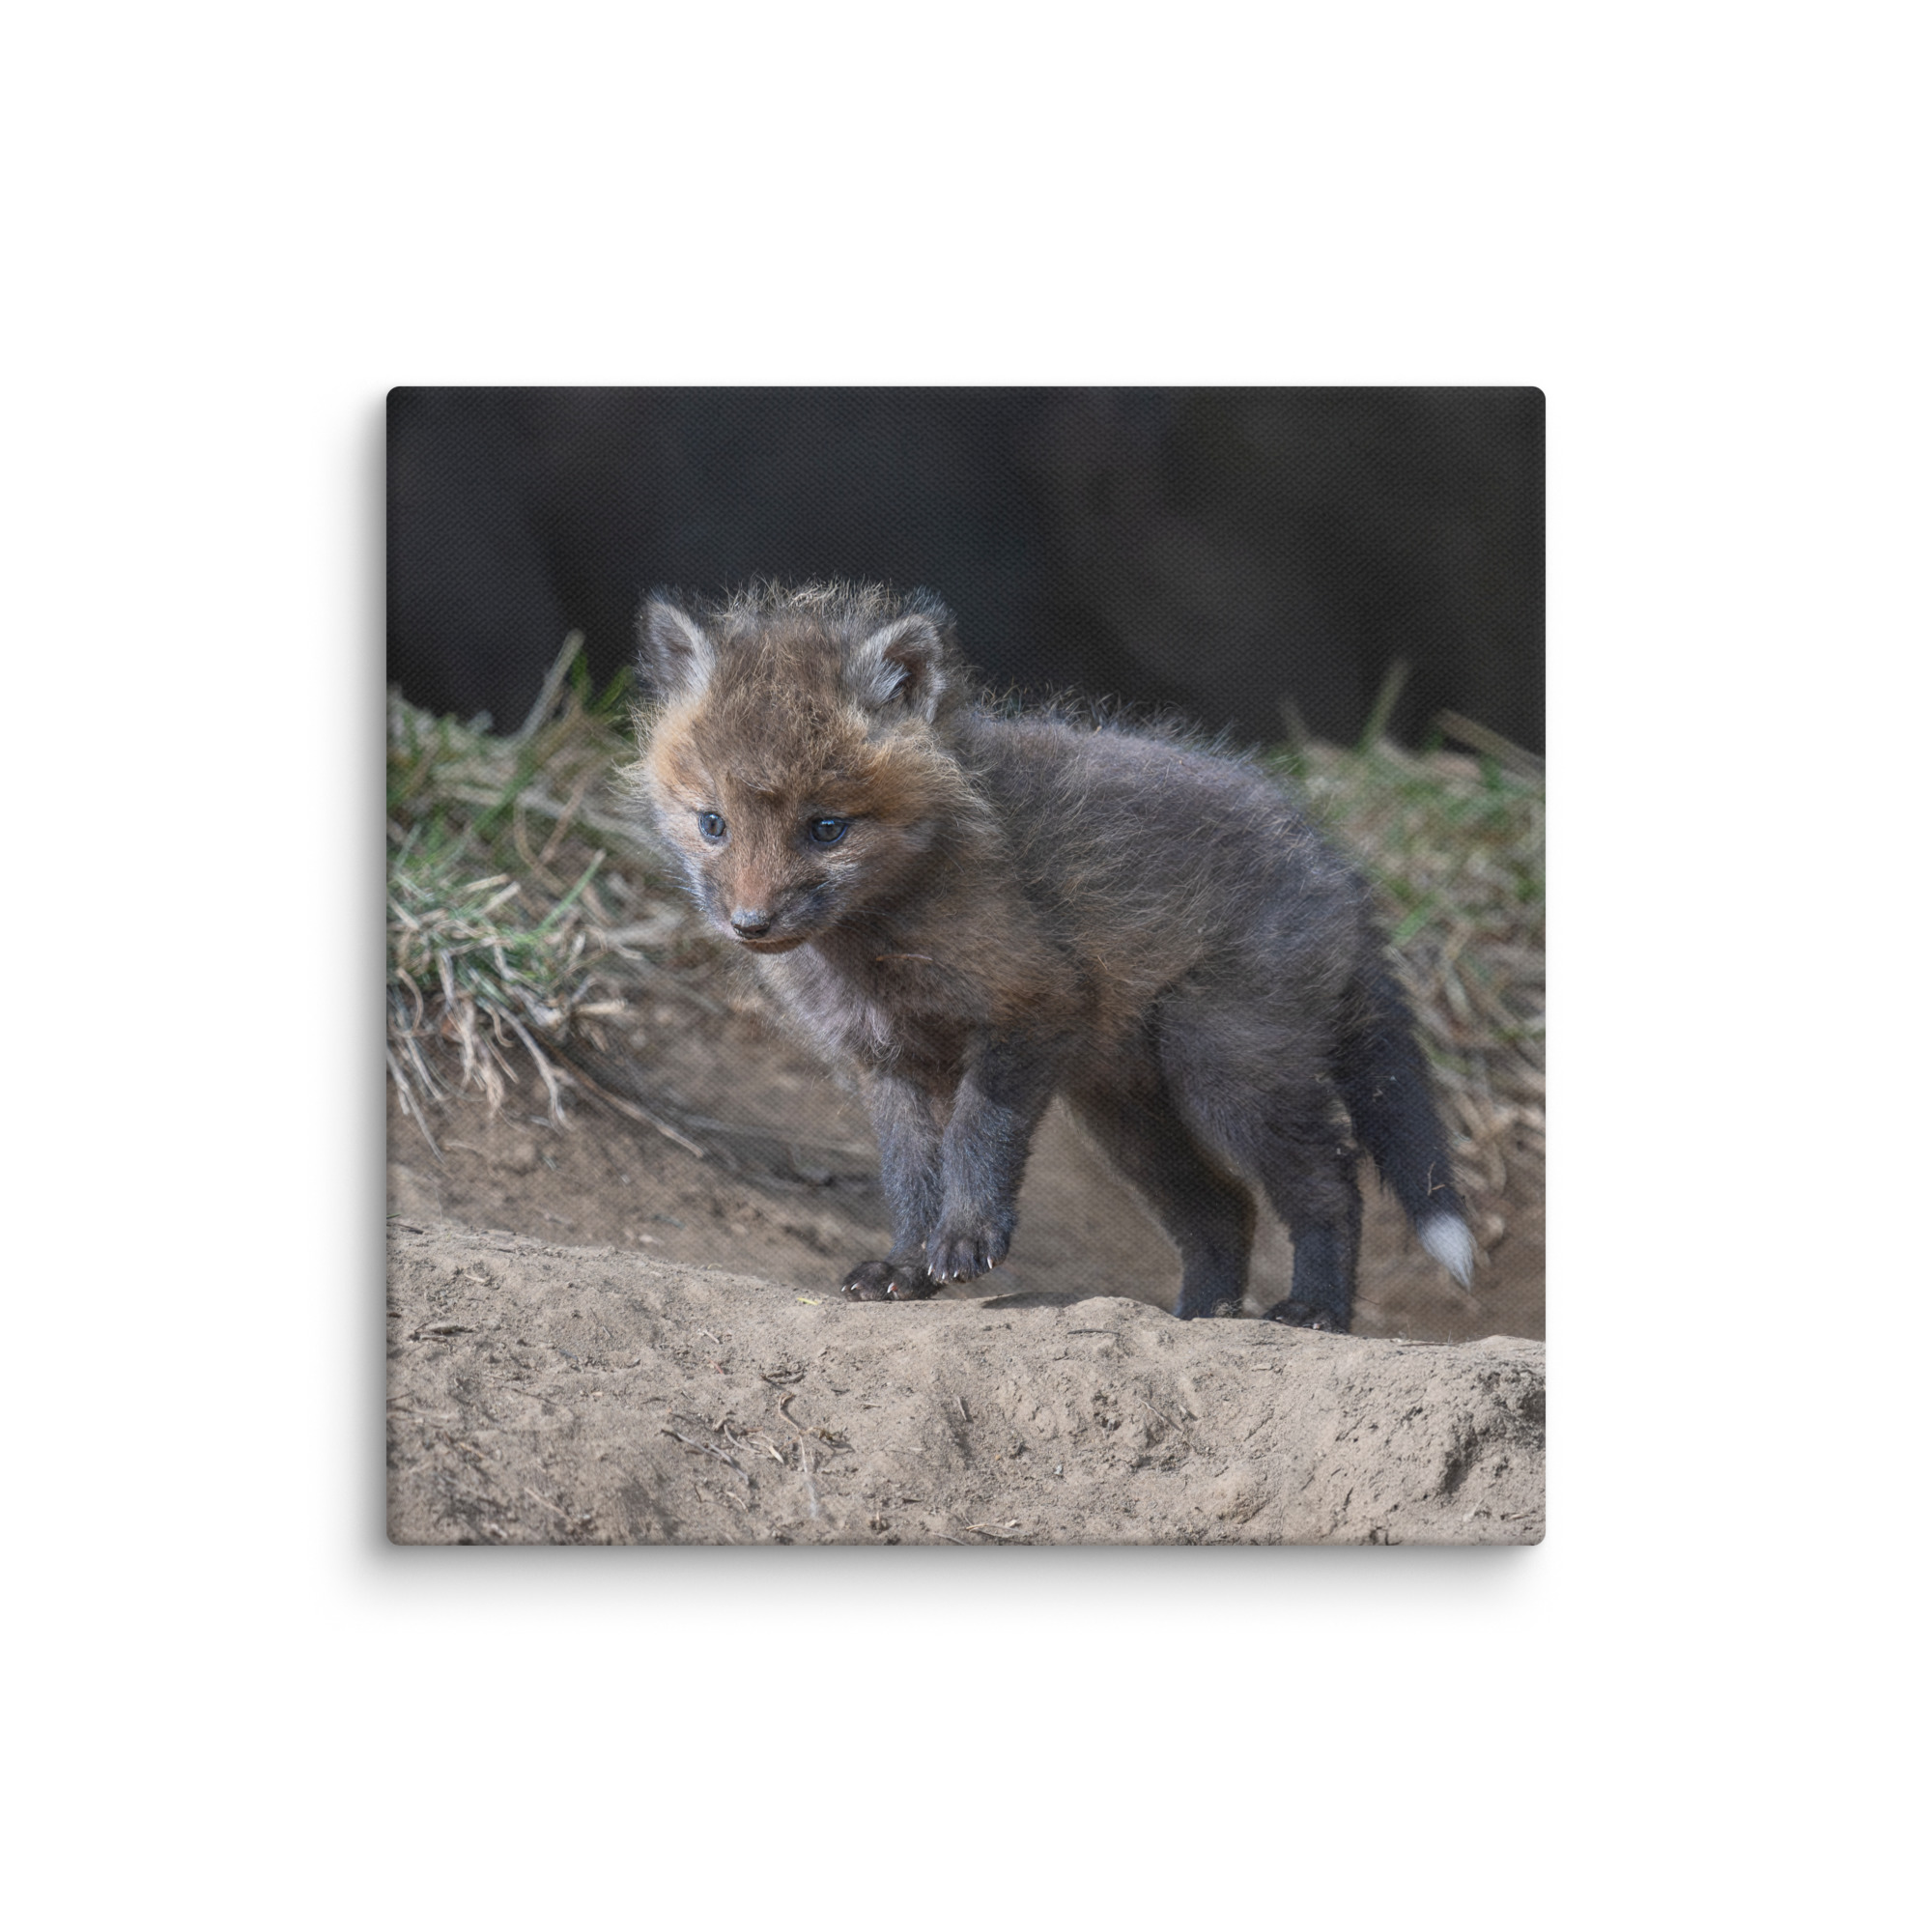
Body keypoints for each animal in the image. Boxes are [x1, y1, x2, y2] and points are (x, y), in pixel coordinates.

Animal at [629, 581, 1475, 1330]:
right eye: (712, 824)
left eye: (826, 828)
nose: (751, 923)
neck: (876, 947)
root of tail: (1337, 866)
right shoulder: (888, 1060)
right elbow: (909, 1176)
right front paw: (906, 1265)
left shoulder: (1030, 1006)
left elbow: (976, 1137)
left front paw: (966, 1239)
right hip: (1128, 1112)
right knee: (1224, 1209)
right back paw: (1200, 1316)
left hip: (1227, 1070)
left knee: (1330, 1182)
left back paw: (1315, 1310)